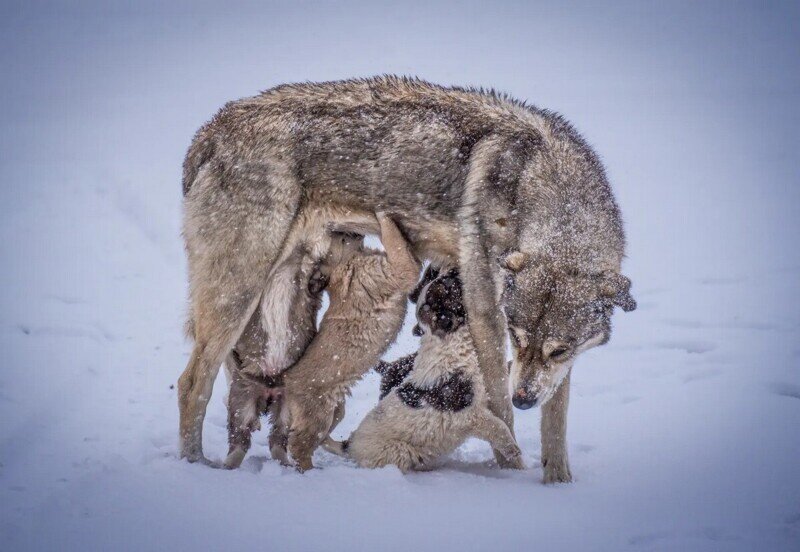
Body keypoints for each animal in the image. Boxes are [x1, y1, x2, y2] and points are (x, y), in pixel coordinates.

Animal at [178, 75, 636, 474]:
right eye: (518, 338)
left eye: (558, 351)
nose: (525, 399)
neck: (554, 200)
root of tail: (214, 126)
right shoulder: (489, 319)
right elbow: (499, 413)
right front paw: (511, 471)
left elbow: (555, 425)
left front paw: (556, 482)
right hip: (237, 299)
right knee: (190, 386)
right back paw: (194, 466)